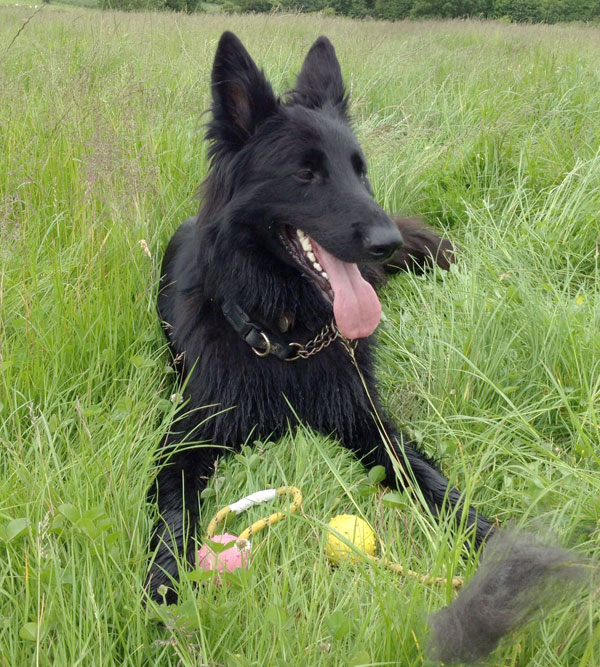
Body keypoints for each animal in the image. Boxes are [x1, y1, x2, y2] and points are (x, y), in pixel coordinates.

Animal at [148, 32, 584, 664]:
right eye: (305, 173)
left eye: (360, 171)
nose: (388, 243)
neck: (290, 338)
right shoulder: (184, 442)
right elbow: (174, 513)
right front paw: (164, 588)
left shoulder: (371, 424)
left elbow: (433, 484)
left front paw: (498, 556)